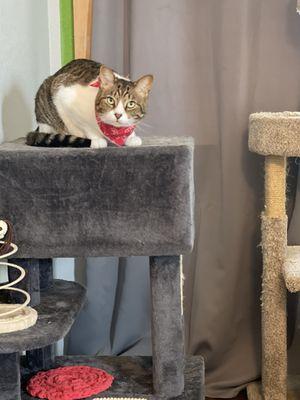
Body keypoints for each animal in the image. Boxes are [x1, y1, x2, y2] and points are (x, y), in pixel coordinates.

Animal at [26, 58, 154, 148]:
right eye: (110, 100)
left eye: (131, 104)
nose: (118, 115)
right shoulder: (64, 95)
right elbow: (85, 126)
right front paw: (96, 139)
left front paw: (132, 136)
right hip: (45, 97)